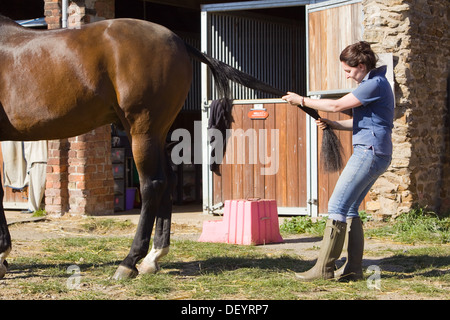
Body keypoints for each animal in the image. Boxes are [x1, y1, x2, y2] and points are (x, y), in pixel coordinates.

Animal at [0, 15, 342, 280]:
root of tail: (176, 40)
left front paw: (3, 255)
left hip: (142, 130)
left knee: (153, 185)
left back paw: (130, 262)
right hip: (153, 132)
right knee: (165, 184)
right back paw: (154, 257)